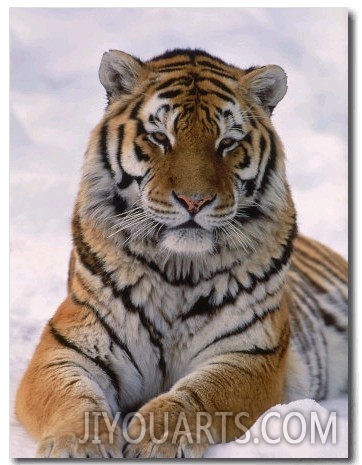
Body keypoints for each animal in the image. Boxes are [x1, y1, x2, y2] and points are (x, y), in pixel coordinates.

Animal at [14, 48, 348, 456]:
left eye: (227, 143)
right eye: (160, 137)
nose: (194, 201)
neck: (178, 268)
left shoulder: (249, 355)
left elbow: (197, 396)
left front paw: (155, 439)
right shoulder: (67, 347)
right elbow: (73, 397)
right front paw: (80, 446)